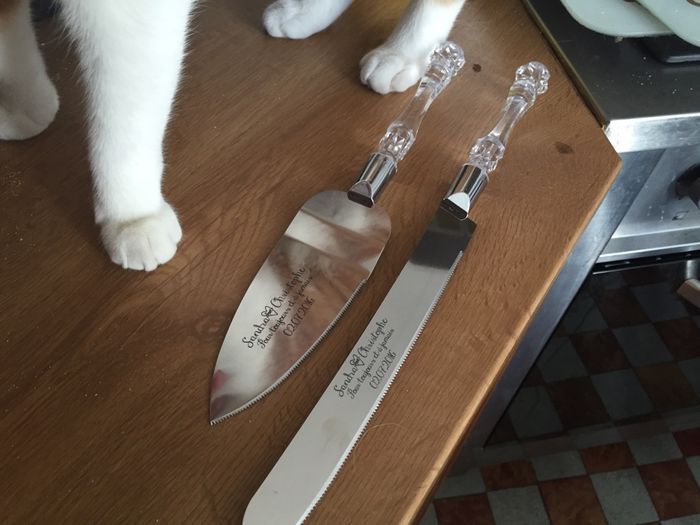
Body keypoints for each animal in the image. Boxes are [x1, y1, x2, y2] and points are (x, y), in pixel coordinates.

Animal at [0, 0, 465, 270]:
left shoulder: (129, 13)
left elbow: (124, 122)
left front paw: (131, 217)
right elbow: (9, 44)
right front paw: (25, 105)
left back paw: (403, 52)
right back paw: (306, 15)